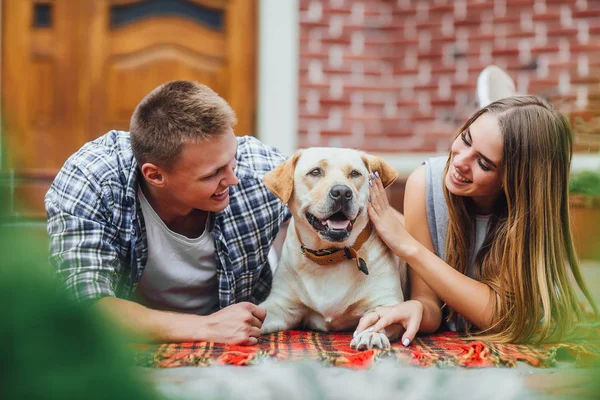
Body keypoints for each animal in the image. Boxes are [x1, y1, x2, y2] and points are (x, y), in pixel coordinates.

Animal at [262, 148, 408, 348]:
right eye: (315, 172)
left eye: (354, 173)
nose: (342, 192)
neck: (331, 256)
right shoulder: (280, 305)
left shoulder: (387, 301)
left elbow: (379, 317)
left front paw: (371, 334)